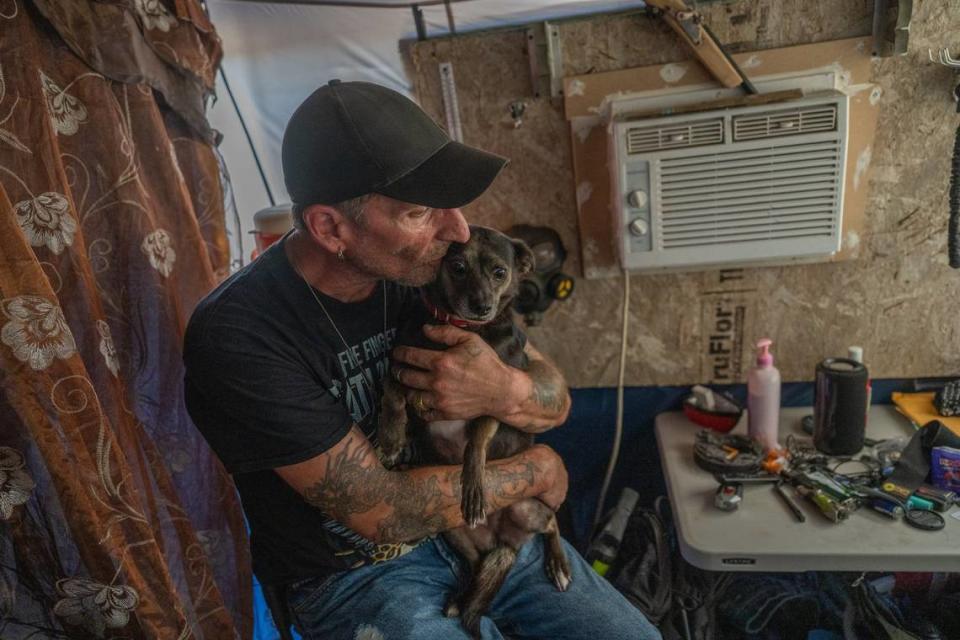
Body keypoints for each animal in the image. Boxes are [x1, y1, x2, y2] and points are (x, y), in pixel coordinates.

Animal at [376, 228, 568, 636]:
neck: (458, 329)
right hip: (452, 530)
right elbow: (393, 394)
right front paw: (393, 439)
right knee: (474, 564)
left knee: (552, 523)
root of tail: (504, 543)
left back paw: (557, 564)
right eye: (458, 267)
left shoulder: (492, 393)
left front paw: (475, 487)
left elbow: (477, 441)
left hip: (529, 509)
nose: (482, 306)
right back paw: (458, 597)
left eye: (499, 272)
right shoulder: (401, 362)